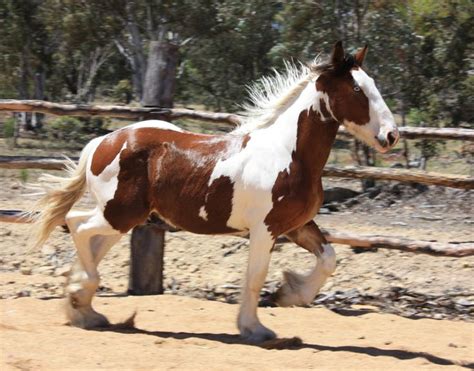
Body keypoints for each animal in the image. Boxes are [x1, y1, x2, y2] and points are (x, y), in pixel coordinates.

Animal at [30, 42, 400, 344]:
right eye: (357, 89)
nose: (391, 135)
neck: (287, 154)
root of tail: (101, 143)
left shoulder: (295, 225)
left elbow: (328, 258)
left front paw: (289, 294)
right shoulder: (265, 229)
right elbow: (254, 277)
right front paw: (255, 329)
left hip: (125, 218)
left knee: (90, 240)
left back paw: (84, 310)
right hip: (119, 212)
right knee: (77, 224)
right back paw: (82, 297)